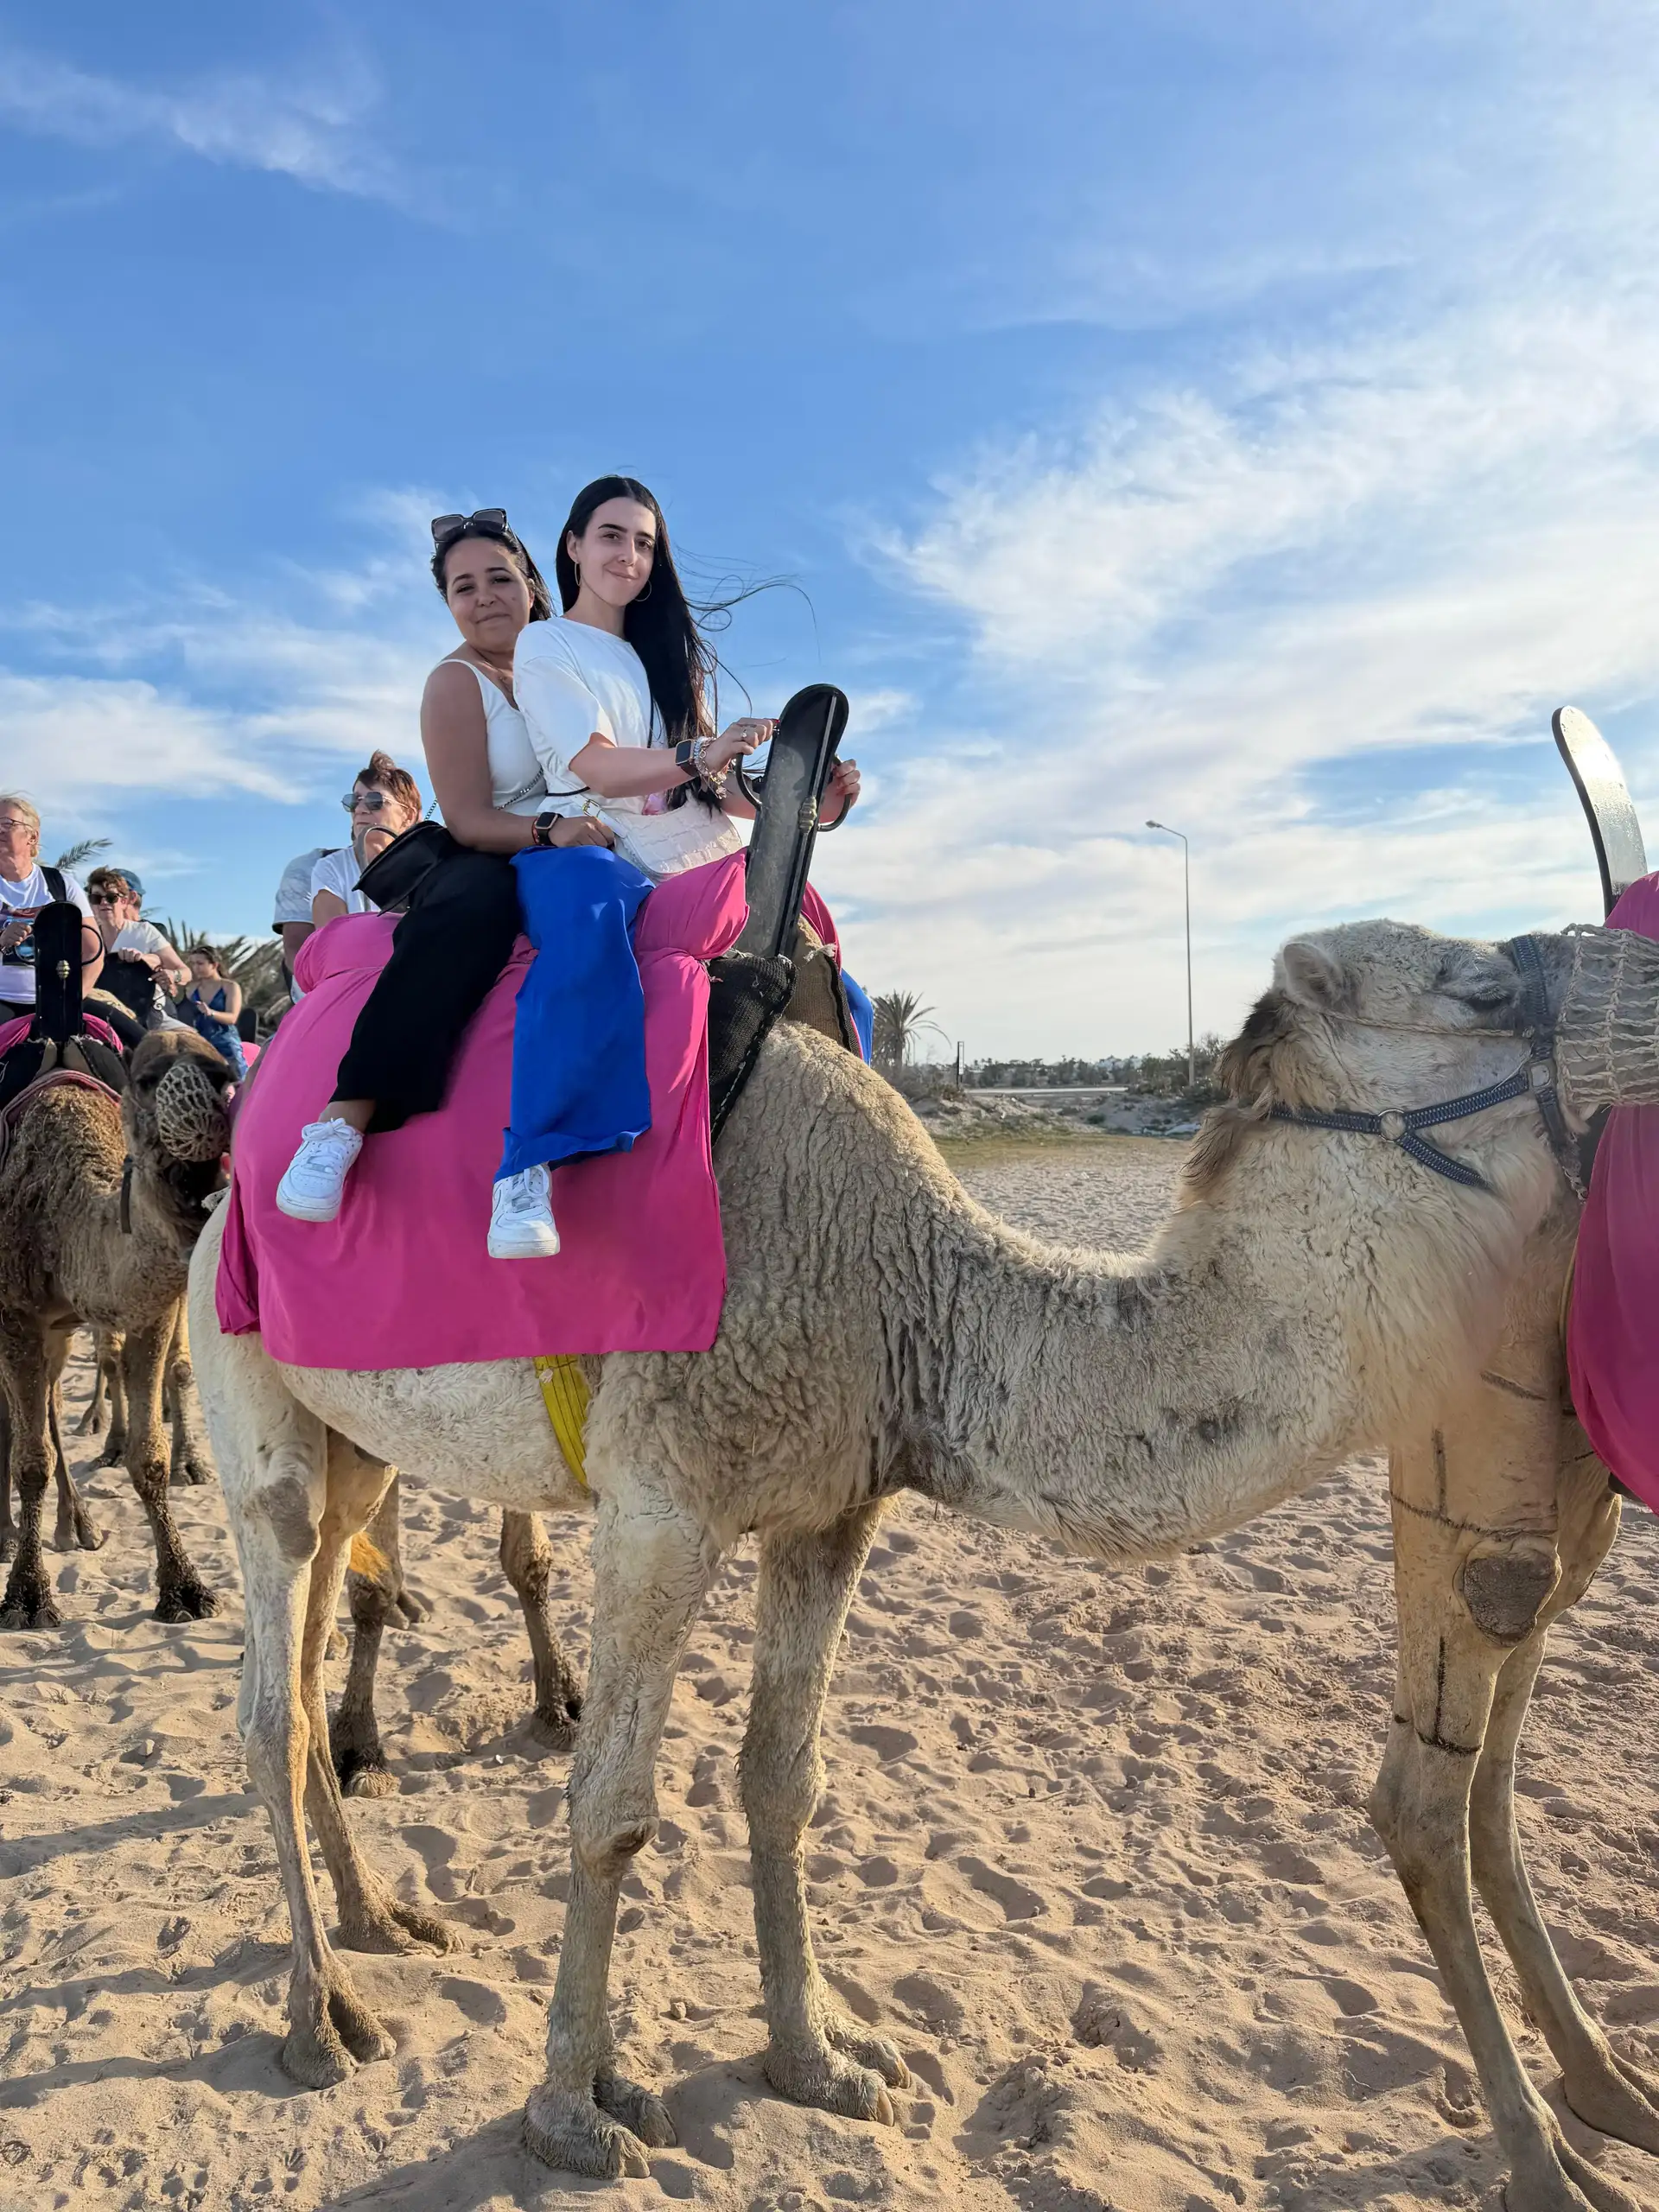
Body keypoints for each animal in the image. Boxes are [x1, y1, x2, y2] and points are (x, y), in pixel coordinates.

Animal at [1, 1029, 232, 1629]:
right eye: (147, 1079)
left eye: (224, 1074)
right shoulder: (15, 1315)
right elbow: (30, 1460)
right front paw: (28, 1596)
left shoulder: (151, 1309)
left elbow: (149, 1457)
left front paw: (185, 1588)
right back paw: (16, 1535)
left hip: (62, 1331)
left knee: (53, 1396)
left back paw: (77, 1524)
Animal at [188, 916, 1659, 2212]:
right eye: (1481, 987)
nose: (1631, 980)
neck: (913, 1294)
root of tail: (220, 1199)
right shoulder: (662, 1498)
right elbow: (610, 1807)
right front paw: (570, 2114)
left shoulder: (830, 1507)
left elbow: (781, 1782)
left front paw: (819, 2062)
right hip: (246, 1386)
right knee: (264, 1691)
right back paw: (321, 2021)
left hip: (359, 1448)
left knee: (308, 1664)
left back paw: (382, 1924)